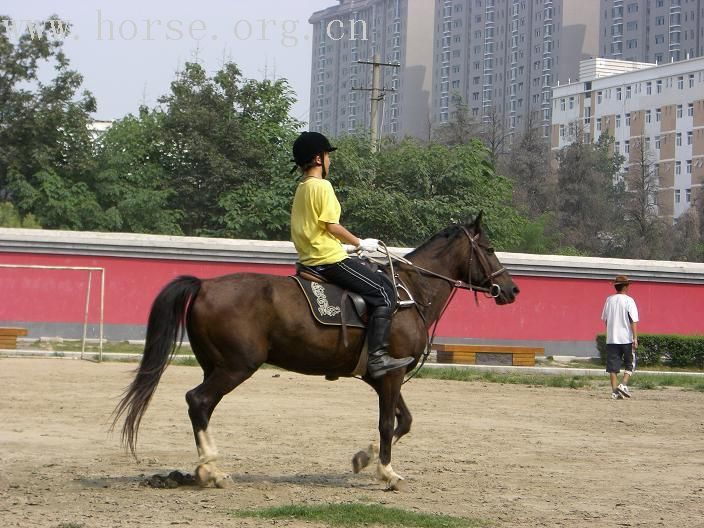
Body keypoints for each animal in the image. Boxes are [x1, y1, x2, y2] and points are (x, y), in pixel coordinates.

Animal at [114, 213, 516, 490]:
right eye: (489, 249)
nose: (511, 290)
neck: (410, 292)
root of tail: (205, 284)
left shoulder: (386, 375)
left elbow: (404, 421)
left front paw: (364, 457)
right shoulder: (390, 374)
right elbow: (388, 423)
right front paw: (386, 471)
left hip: (214, 366)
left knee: (202, 406)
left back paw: (206, 468)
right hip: (235, 367)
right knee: (197, 401)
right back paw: (211, 470)